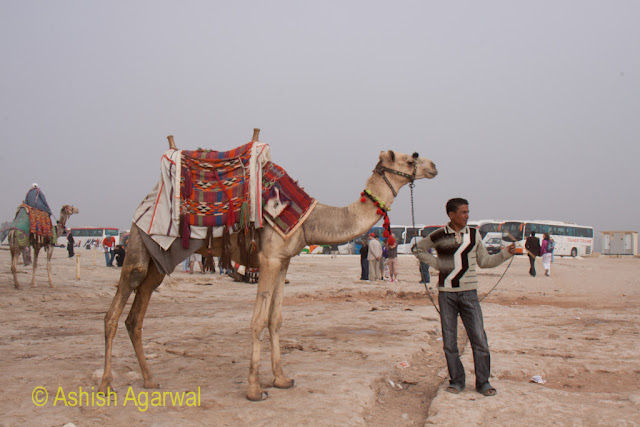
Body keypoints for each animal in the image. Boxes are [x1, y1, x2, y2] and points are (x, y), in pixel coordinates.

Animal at [99, 135, 440, 402]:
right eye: (411, 158)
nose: (434, 166)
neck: (310, 219)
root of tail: (143, 203)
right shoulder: (269, 259)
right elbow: (257, 321)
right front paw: (253, 389)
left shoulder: (284, 261)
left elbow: (275, 320)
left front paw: (281, 379)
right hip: (139, 244)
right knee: (114, 312)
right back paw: (105, 385)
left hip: (160, 258)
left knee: (136, 316)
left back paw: (150, 380)